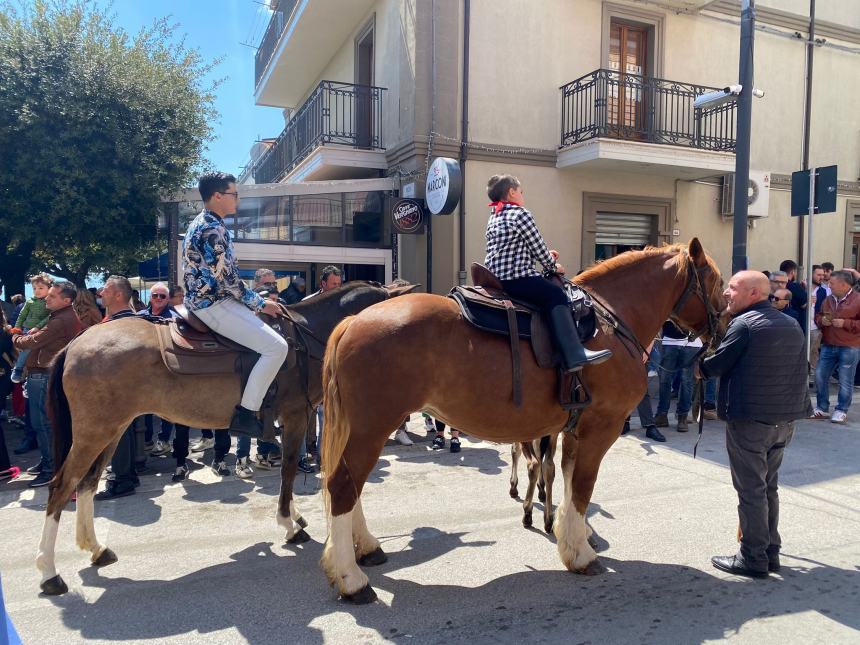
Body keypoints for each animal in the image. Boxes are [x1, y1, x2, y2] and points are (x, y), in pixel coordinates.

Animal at [30, 280, 414, 592]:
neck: (308, 335)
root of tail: (76, 343)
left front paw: (302, 521)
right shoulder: (296, 415)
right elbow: (290, 468)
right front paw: (290, 524)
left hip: (111, 430)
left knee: (87, 483)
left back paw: (96, 549)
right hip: (94, 431)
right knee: (62, 486)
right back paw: (49, 572)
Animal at [320, 239, 724, 600]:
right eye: (718, 282)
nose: (723, 327)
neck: (608, 323)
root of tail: (353, 321)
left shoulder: (573, 431)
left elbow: (568, 482)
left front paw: (571, 537)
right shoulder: (601, 427)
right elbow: (583, 486)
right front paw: (581, 554)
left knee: (352, 487)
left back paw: (366, 548)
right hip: (372, 429)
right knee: (343, 486)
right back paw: (351, 579)